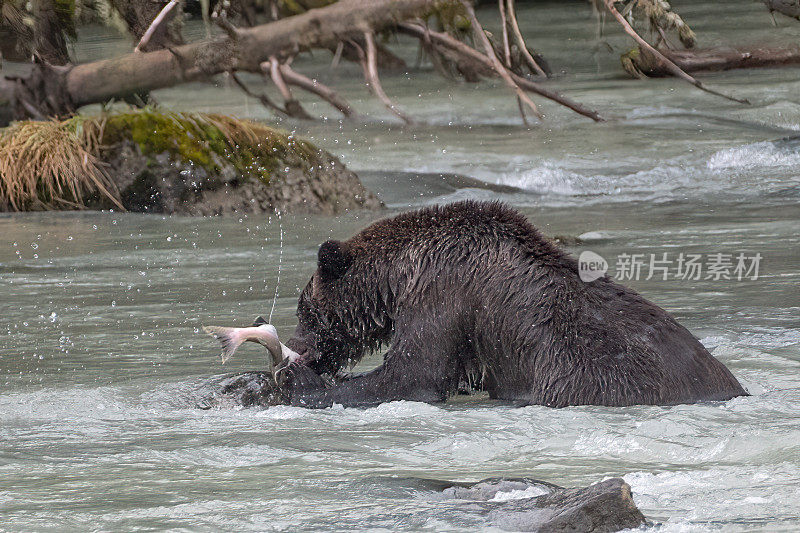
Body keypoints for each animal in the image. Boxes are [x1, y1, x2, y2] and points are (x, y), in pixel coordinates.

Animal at [278, 200, 748, 408]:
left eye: (305, 311)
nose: (297, 347)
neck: (399, 277)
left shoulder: (443, 295)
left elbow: (413, 375)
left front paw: (291, 383)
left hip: (594, 380)